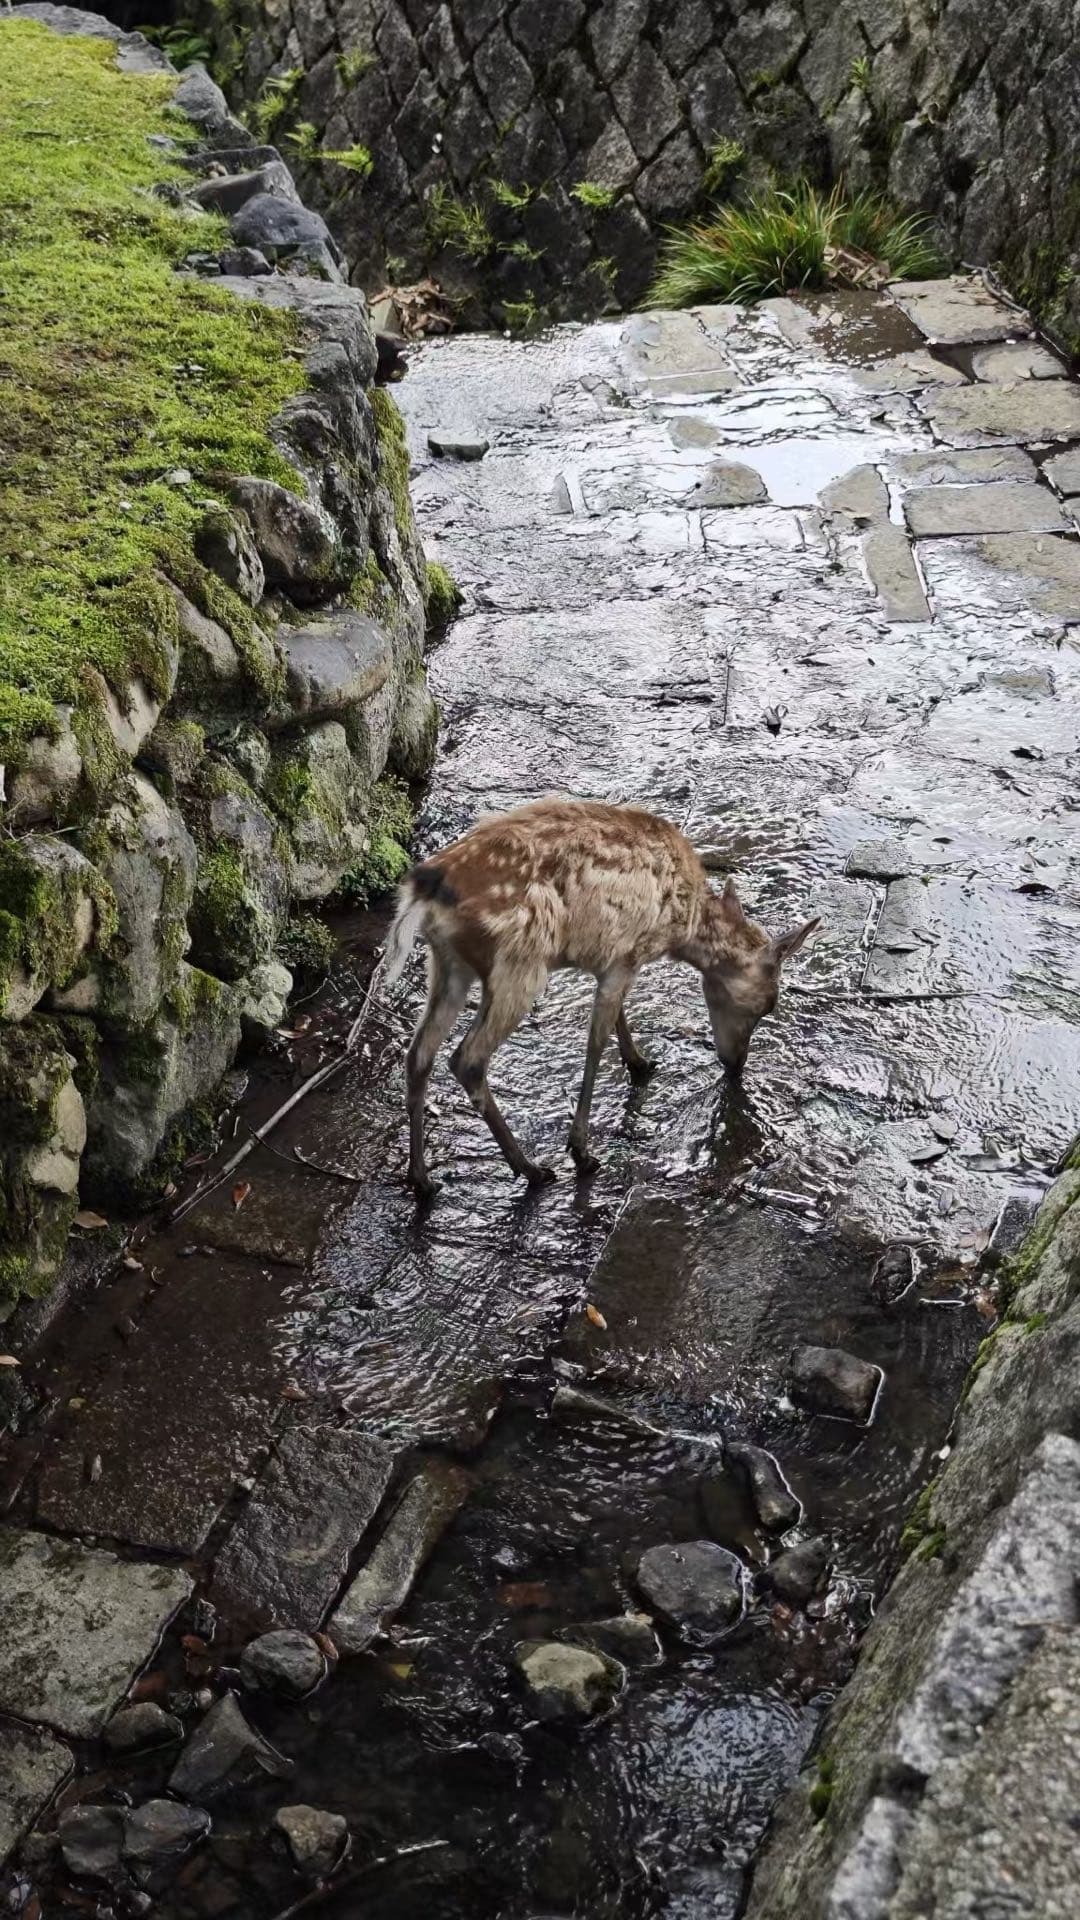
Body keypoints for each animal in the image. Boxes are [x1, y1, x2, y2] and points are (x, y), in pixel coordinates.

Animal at [383, 797, 820, 1197]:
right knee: (467, 1059)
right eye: (769, 1004)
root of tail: (425, 887)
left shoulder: (610, 959)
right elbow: (596, 1042)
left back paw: (422, 1179)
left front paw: (640, 1062)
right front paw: (581, 1150)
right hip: (519, 965)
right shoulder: (627, 955)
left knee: (418, 1055)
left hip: (448, 965)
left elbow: (618, 1016)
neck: (683, 929)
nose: (736, 1064)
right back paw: (531, 1169)